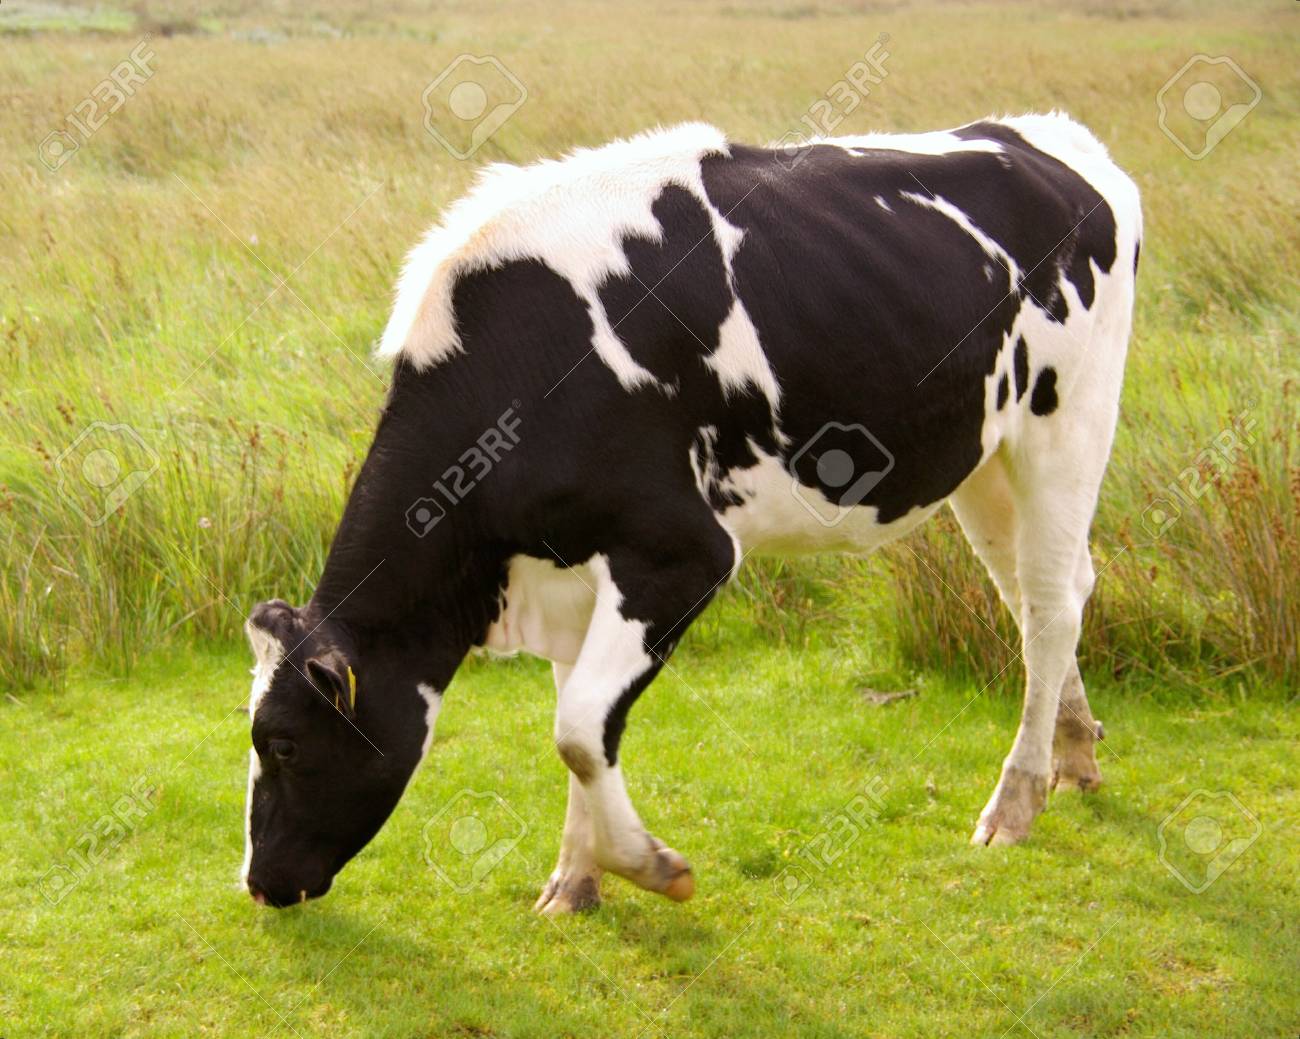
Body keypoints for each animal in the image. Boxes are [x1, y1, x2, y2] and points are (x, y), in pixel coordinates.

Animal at [240, 113, 1141, 913]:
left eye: (282, 741)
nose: (258, 882)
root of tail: (1045, 134)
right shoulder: (571, 565)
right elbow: (580, 723)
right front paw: (575, 881)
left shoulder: (682, 552)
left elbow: (577, 728)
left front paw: (652, 866)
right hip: (982, 459)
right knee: (1035, 599)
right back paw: (1074, 755)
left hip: (1067, 428)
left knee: (1052, 605)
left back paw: (1016, 801)